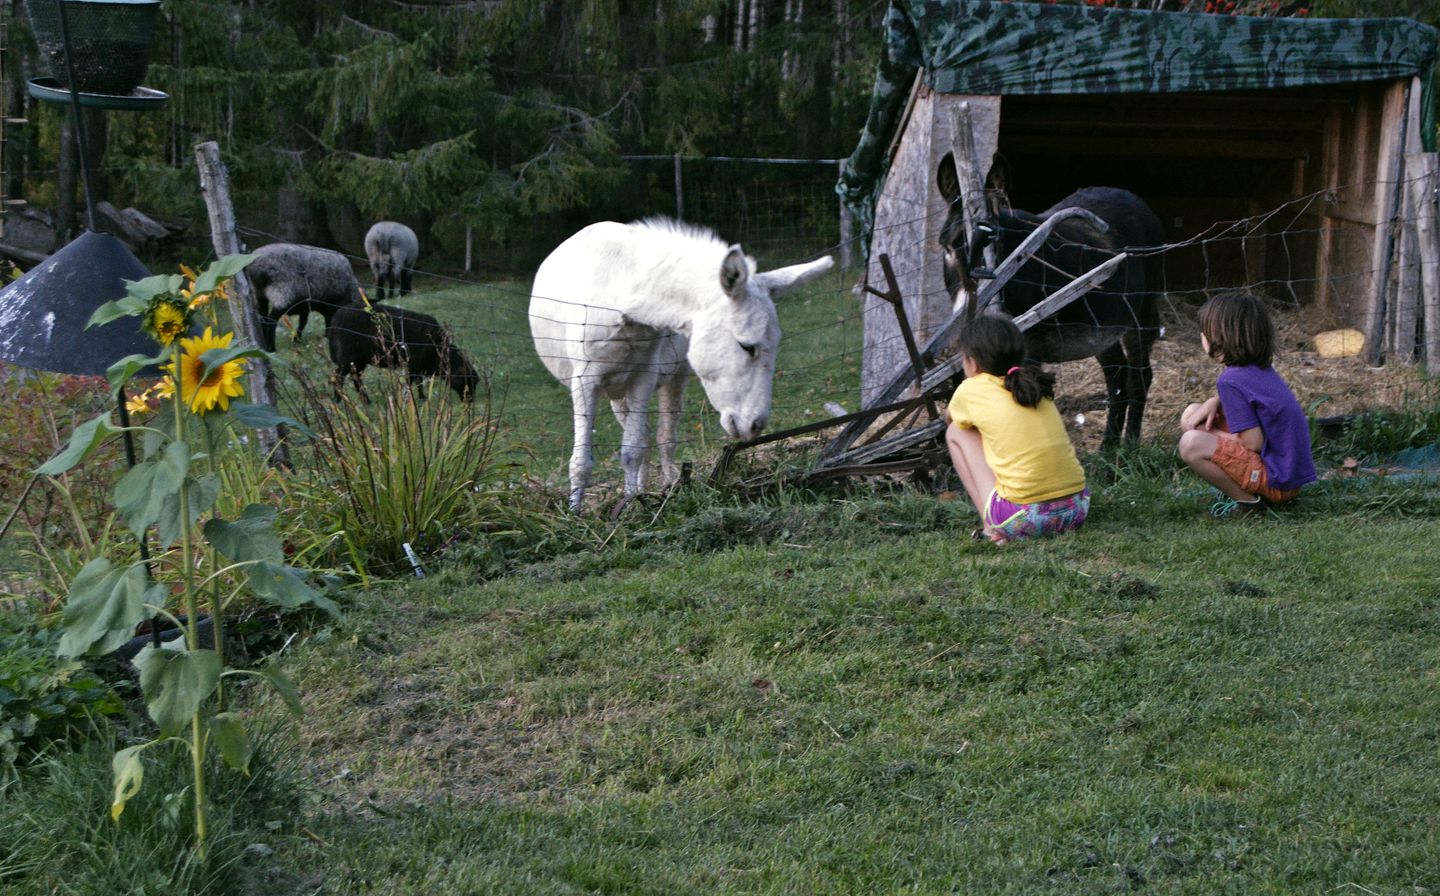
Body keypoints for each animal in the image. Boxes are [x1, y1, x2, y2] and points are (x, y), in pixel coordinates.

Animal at [329, 303, 480, 403]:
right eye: (467, 382)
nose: (470, 401)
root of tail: (335, 319)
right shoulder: (413, 362)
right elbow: (411, 381)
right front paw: (410, 400)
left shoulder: (418, 364)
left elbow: (419, 381)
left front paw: (422, 398)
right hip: (349, 357)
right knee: (338, 377)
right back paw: (338, 400)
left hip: (359, 361)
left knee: (356, 378)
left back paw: (365, 401)